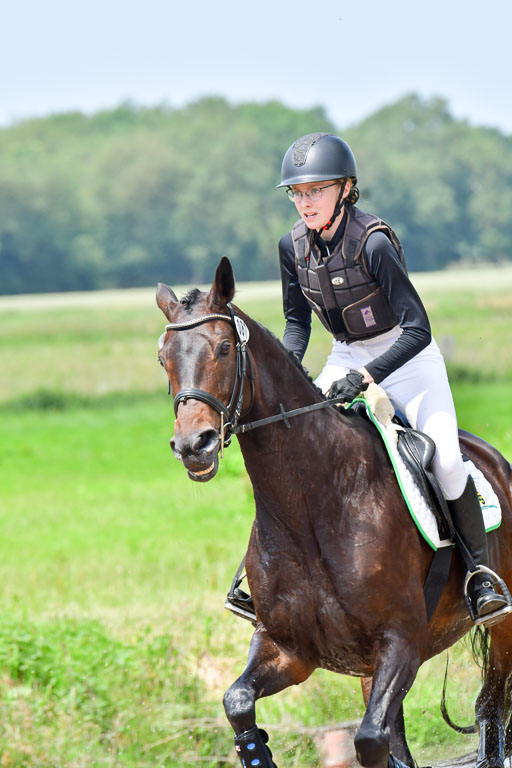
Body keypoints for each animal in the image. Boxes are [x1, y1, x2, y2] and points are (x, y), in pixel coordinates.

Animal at [156, 256, 512, 768]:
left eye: (224, 348)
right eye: (163, 357)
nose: (192, 446)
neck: (312, 508)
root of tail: (492, 459)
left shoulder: (401, 642)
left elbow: (370, 741)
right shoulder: (288, 649)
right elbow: (238, 703)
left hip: (502, 627)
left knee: (491, 704)